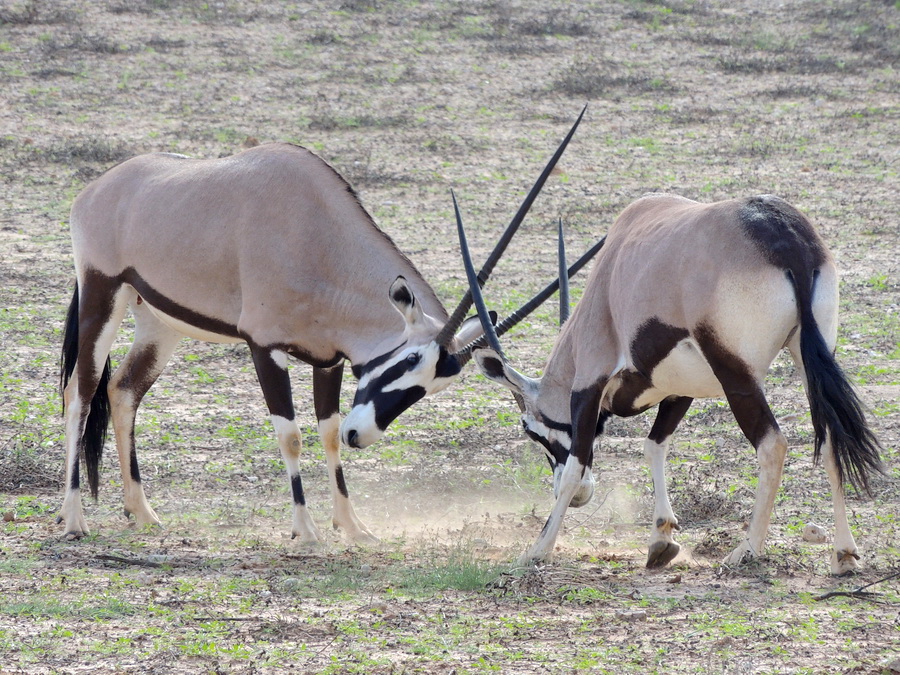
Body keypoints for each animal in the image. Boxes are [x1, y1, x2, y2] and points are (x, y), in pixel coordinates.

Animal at [59, 111, 600, 544]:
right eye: (407, 360)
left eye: (432, 386)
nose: (366, 435)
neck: (316, 236)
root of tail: (96, 190)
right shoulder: (264, 347)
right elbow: (292, 435)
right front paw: (306, 530)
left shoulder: (329, 359)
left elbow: (329, 433)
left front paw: (353, 526)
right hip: (102, 296)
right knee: (80, 393)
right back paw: (73, 519)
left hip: (160, 324)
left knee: (123, 390)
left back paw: (142, 512)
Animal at [460, 191, 884, 576]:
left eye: (530, 429)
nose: (584, 498)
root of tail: (787, 238)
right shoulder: (682, 390)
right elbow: (653, 446)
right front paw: (661, 540)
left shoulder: (589, 384)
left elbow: (576, 466)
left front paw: (537, 550)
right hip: (811, 356)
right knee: (830, 440)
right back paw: (844, 554)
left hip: (737, 375)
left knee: (773, 445)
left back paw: (745, 551)